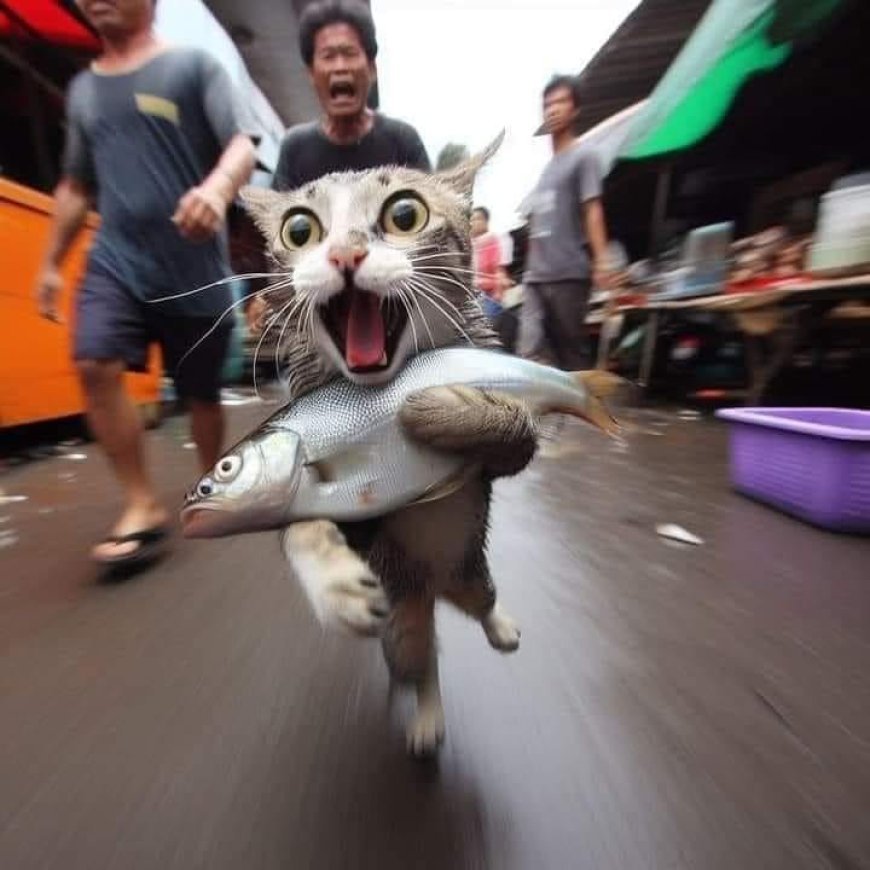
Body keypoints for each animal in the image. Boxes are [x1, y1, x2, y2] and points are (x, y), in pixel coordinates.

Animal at [240, 135, 540, 756]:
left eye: (406, 215)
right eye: (299, 230)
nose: (344, 255)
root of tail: (437, 587)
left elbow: (515, 431)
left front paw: (446, 408)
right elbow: (302, 522)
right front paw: (335, 583)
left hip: (472, 571)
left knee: (484, 601)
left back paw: (500, 627)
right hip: (403, 618)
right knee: (419, 661)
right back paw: (425, 715)